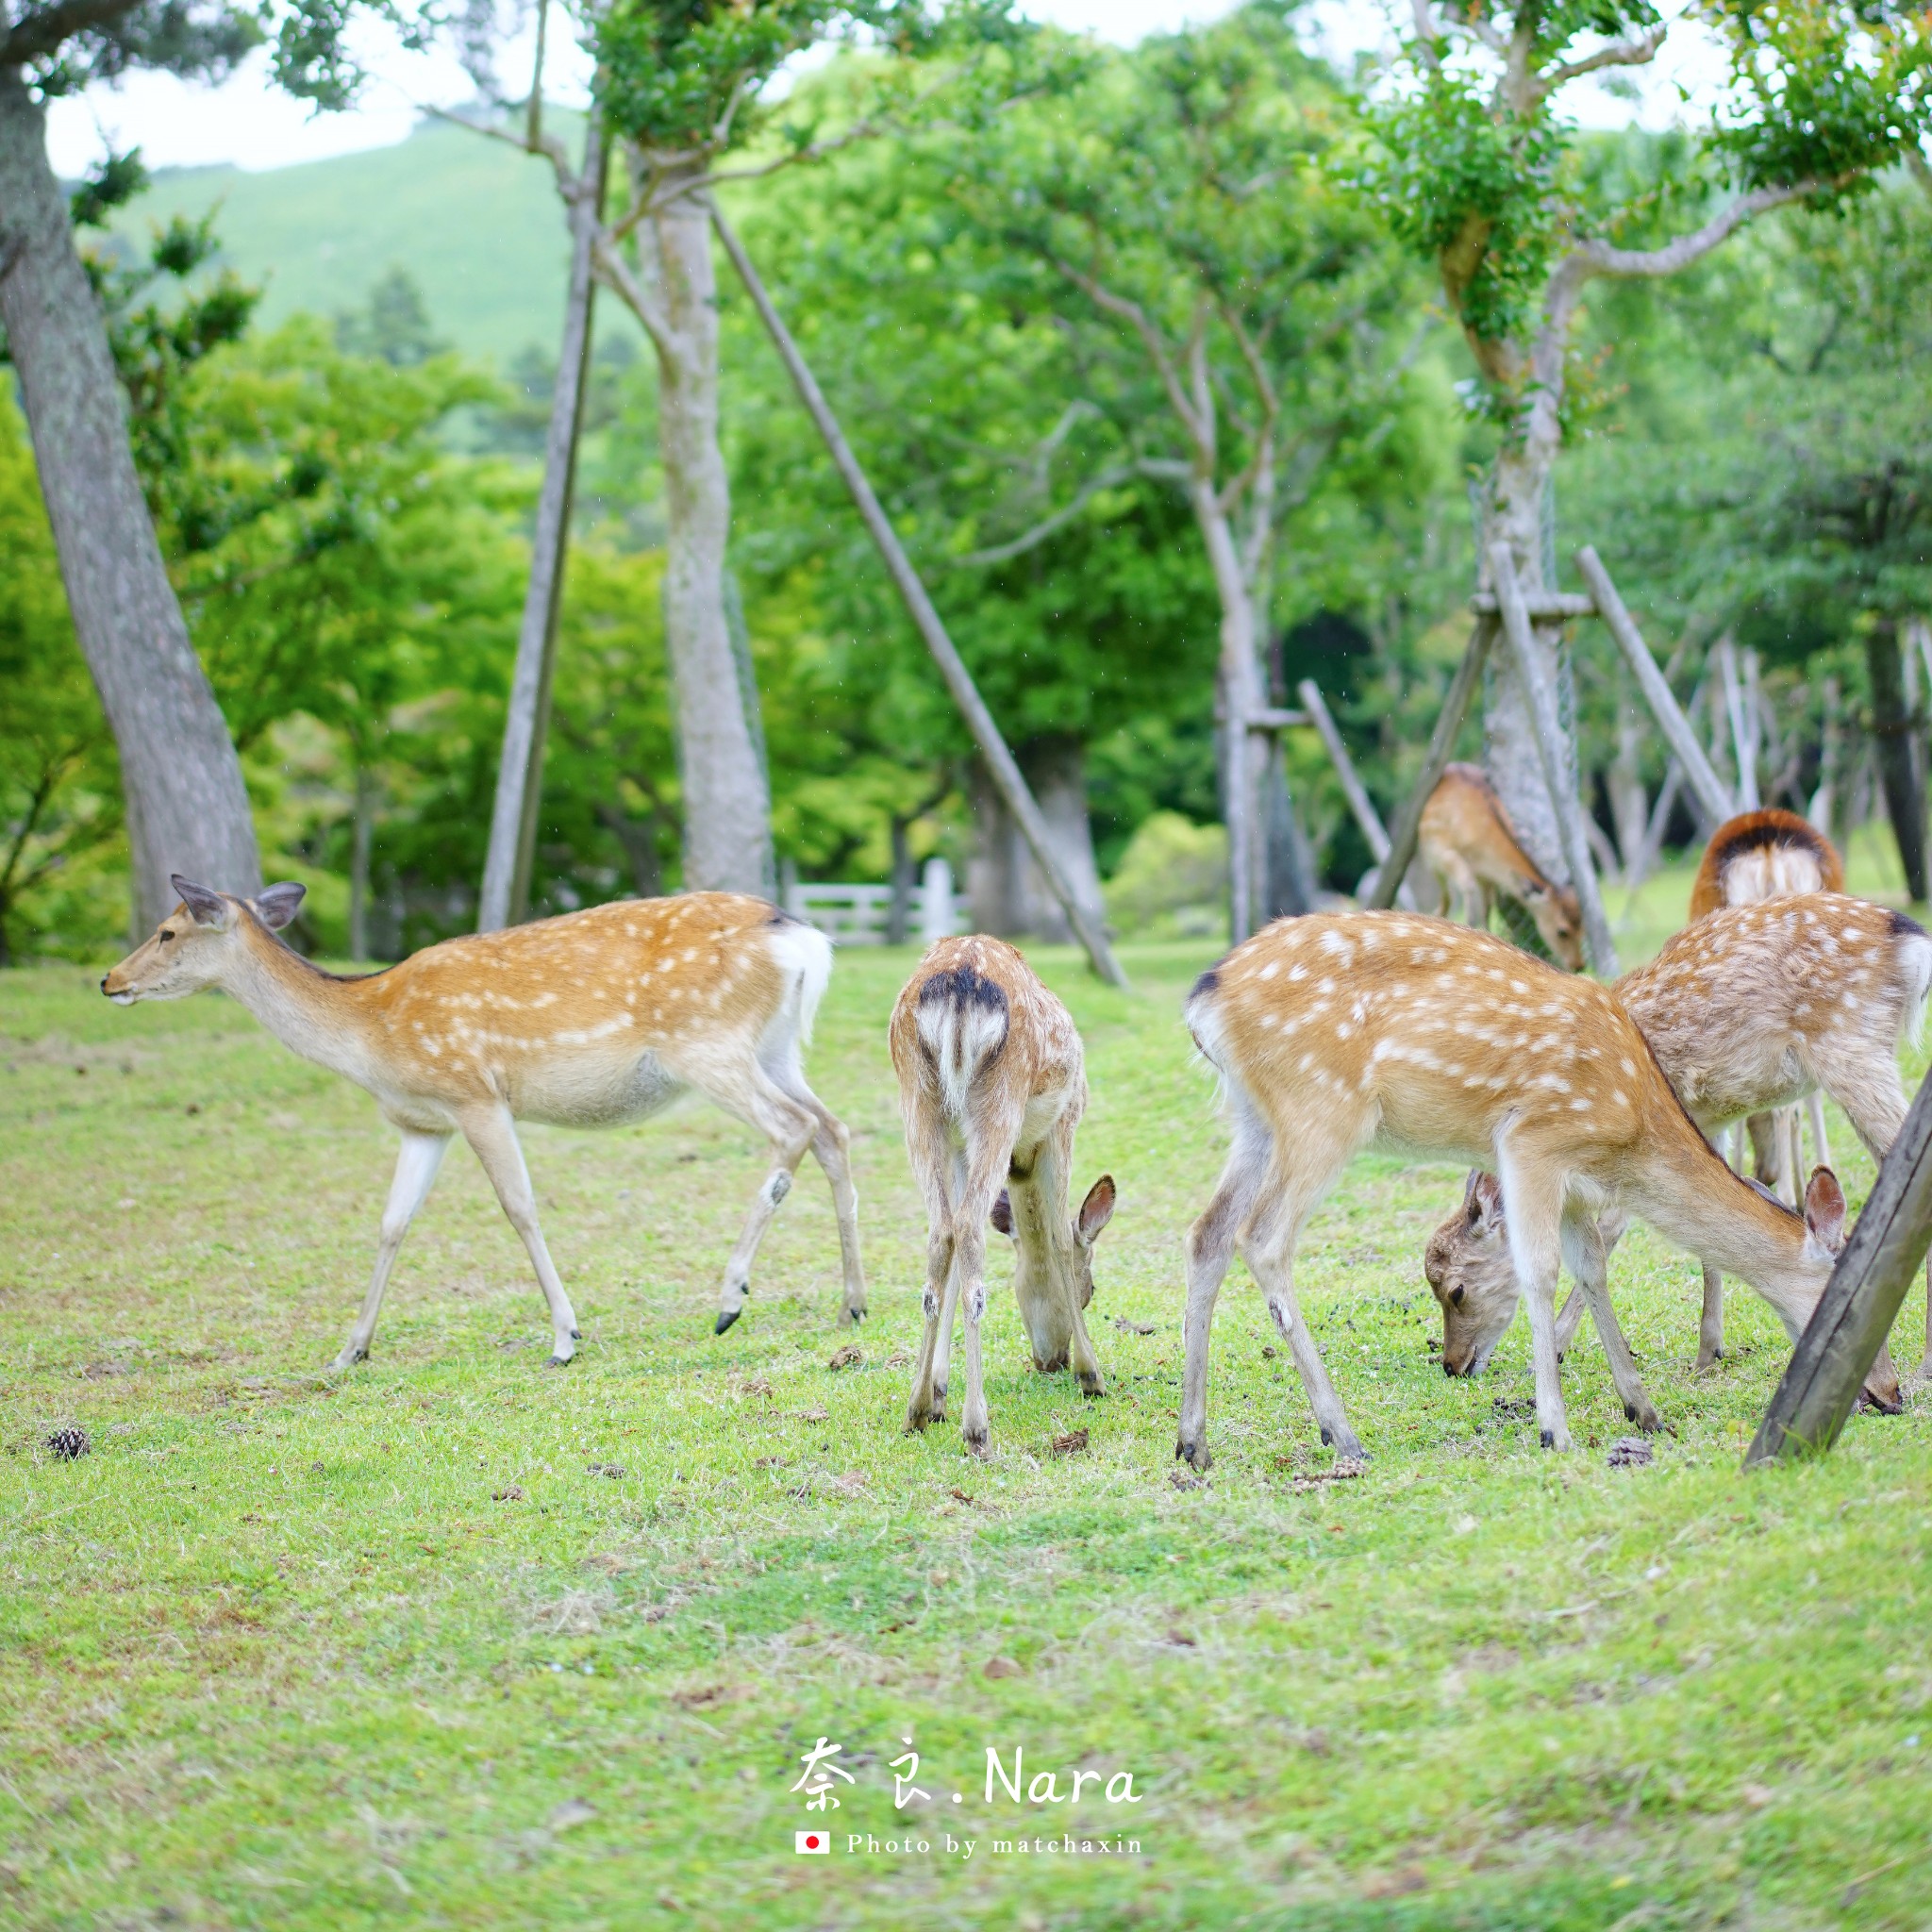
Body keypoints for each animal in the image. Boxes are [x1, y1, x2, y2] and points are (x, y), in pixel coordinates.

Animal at [95, 884, 869, 1367]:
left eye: (167, 930)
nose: (109, 980)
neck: (371, 1036)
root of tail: (802, 939)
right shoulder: (421, 1123)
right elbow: (392, 1223)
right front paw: (350, 1349)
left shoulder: (473, 1093)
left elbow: (519, 1206)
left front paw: (565, 1338)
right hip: (774, 1046)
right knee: (833, 1128)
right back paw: (852, 1305)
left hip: (706, 1044)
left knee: (793, 1128)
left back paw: (730, 1298)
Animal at [889, 931, 1120, 1453]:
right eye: (1091, 1290)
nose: (1051, 1361)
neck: (1022, 1166)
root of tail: (958, 982)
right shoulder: (1064, 1123)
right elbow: (1059, 1239)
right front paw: (1092, 1374)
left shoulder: (959, 1145)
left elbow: (953, 1260)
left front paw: (938, 1393)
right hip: (1001, 1100)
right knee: (969, 1229)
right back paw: (978, 1428)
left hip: (921, 1104)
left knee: (944, 1231)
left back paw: (914, 1411)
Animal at [1174, 904, 1855, 1460]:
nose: (1883, 1394)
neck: (1632, 1120)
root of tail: (1204, 1000)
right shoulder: (1533, 1140)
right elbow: (1541, 1270)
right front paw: (1555, 1429)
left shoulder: (1576, 1182)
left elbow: (1594, 1267)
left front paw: (1644, 1411)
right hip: (1322, 1107)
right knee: (1262, 1237)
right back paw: (1341, 1435)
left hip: (1254, 1117)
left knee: (1207, 1233)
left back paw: (1192, 1444)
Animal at [1422, 753, 1584, 966]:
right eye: (1562, 931)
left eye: (1583, 927)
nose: (1579, 965)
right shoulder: (1444, 851)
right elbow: (1467, 890)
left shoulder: (1486, 876)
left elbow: (1486, 909)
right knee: (1446, 894)